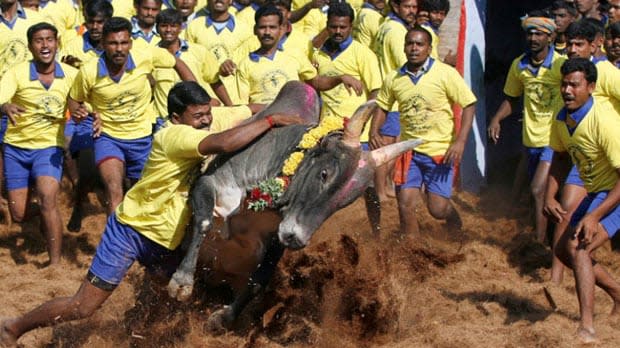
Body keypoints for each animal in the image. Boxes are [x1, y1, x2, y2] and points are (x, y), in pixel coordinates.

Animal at [167, 81, 424, 328]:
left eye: (346, 201)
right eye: (324, 174)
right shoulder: (209, 183)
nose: (296, 238)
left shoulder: (275, 236)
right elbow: (204, 222)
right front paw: (182, 282)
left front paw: (223, 319)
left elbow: (259, 280)